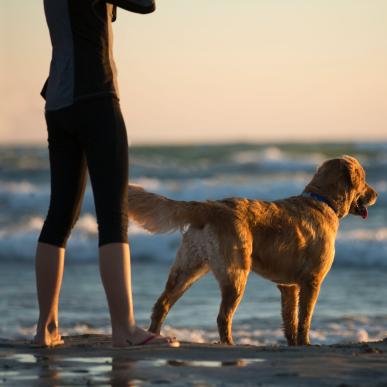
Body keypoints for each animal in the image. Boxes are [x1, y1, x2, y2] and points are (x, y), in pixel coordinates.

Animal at [128, 156, 378, 348]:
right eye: (365, 179)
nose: (376, 194)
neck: (323, 201)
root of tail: (210, 206)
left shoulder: (288, 286)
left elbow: (290, 318)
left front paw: (293, 343)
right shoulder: (312, 281)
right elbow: (304, 318)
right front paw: (306, 343)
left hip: (187, 268)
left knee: (162, 304)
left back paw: (154, 336)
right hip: (236, 274)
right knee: (222, 316)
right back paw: (229, 344)